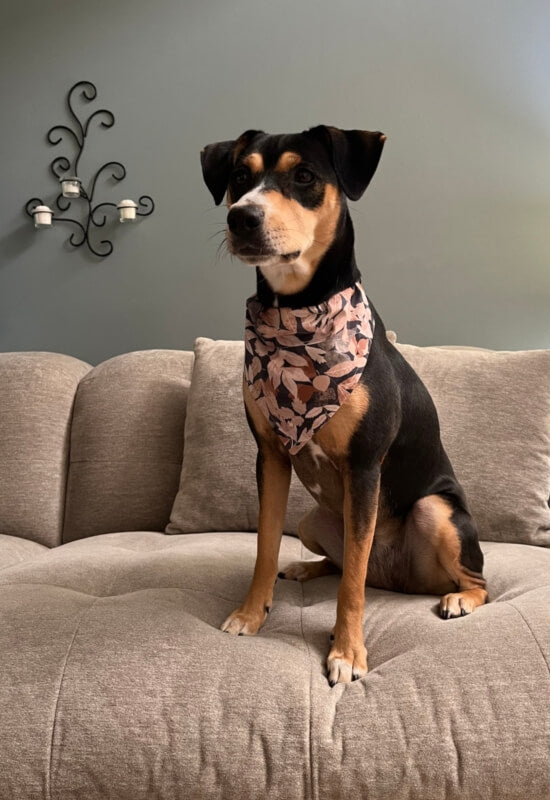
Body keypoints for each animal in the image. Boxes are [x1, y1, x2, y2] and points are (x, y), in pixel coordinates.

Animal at [201, 126, 490, 688]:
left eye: (304, 176)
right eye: (240, 176)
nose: (242, 216)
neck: (297, 313)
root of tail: (397, 579)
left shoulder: (364, 467)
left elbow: (352, 584)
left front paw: (347, 652)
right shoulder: (270, 457)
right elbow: (265, 545)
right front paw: (250, 613)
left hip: (435, 510)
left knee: (474, 579)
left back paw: (459, 599)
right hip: (314, 519)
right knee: (337, 560)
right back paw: (305, 568)